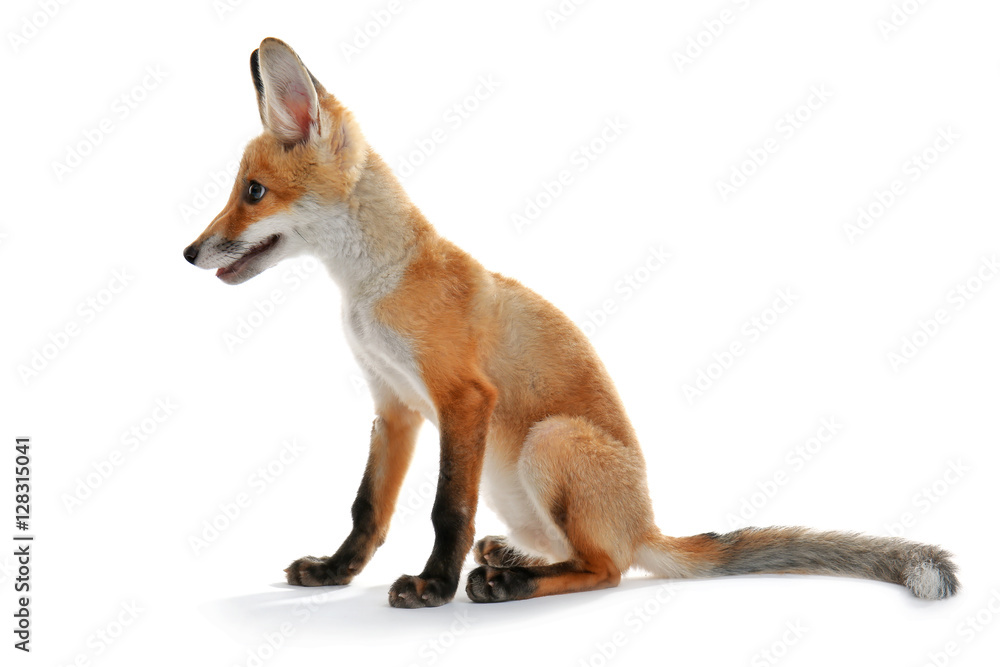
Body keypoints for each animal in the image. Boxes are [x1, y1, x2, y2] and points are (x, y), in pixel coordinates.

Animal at [183, 38, 959, 608]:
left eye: (253, 192)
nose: (189, 252)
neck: (372, 288)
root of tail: (647, 523)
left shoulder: (463, 399)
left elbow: (446, 511)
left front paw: (433, 585)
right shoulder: (395, 406)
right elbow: (367, 509)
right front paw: (336, 572)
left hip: (548, 442)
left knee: (607, 568)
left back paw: (506, 582)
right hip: (515, 480)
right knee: (580, 552)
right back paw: (512, 558)